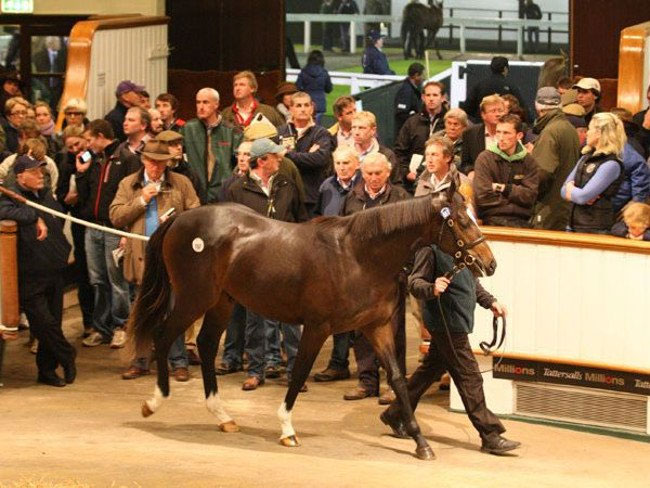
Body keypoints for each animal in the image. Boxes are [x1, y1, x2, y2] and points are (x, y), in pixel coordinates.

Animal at [128, 178, 496, 461]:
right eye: (462, 221)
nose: (489, 263)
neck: (358, 257)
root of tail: (180, 219)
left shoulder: (375, 328)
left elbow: (398, 381)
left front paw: (421, 443)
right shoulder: (318, 327)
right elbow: (299, 372)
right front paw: (287, 430)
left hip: (221, 302)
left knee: (204, 345)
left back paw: (223, 416)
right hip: (194, 298)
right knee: (163, 335)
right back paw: (152, 402)